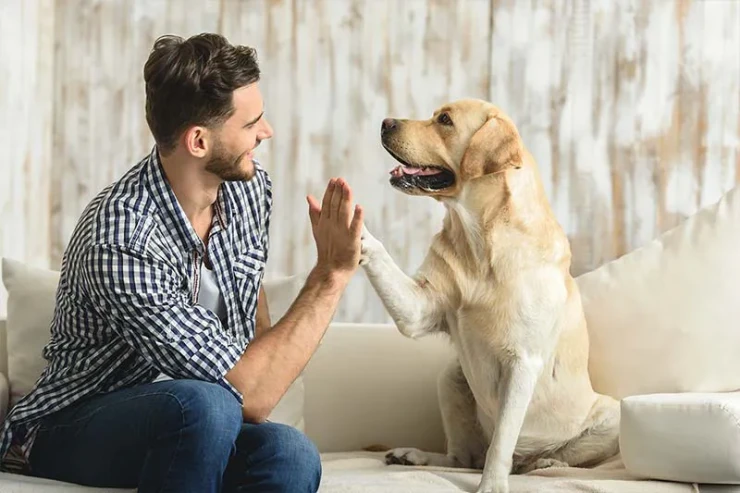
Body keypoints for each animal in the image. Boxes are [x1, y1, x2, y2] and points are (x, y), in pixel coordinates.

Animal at [358, 99, 620, 492]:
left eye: (445, 120)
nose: (386, 122)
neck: (480, 241)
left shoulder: (522, 362)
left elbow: (501, 442)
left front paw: (493, 485)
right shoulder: (419, 309)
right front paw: (349, 224)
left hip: (611, 417)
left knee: (545, 458)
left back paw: (543, 460)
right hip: (451, 378)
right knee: (462, 457)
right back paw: (414, 455)